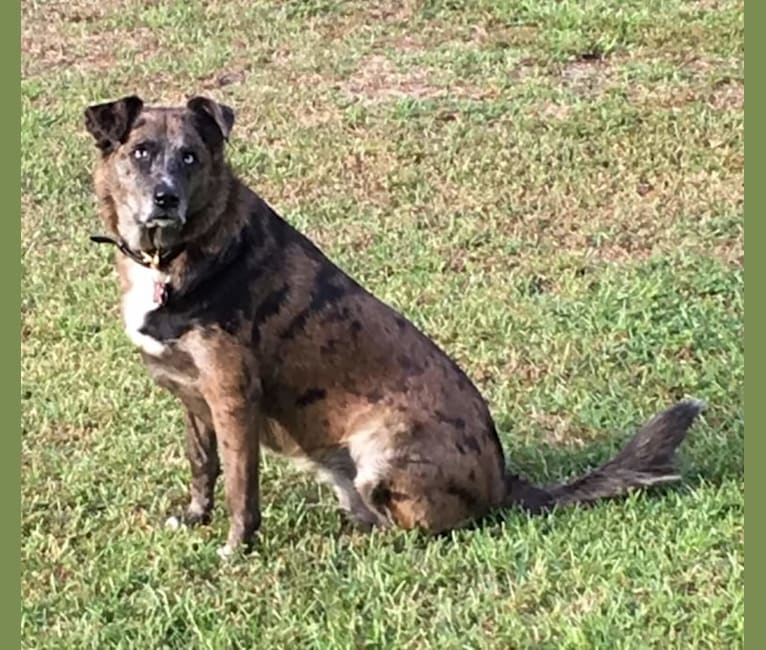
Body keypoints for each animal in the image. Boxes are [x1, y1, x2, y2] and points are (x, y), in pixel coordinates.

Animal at [85, 93, 708, 556]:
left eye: (190, 157)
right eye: (141, 152)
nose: (165, 199)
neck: (171, 259)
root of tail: (504, 480)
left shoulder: (234, 398)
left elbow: (242, 483)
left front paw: (237, 548)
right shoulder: (194, 398)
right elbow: (203, 464)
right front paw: (195, 517)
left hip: (381, 452)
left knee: (418, 531)